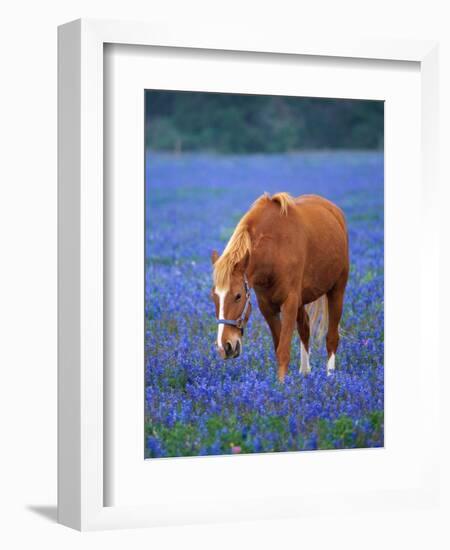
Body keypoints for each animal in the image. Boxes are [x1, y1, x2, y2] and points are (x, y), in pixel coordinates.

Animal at [210, 194, 348, 384]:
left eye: (238, 296)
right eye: (214, 297)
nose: (225, 347)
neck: (274, 250)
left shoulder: (289, 302)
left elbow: (283, 350)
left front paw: (281, 386)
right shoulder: (267, 307)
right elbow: (279, 347)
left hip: (337, 290)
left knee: (332, 338)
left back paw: (330, 377)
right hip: (302, 300)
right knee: (305, 329)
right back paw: (305, 373)